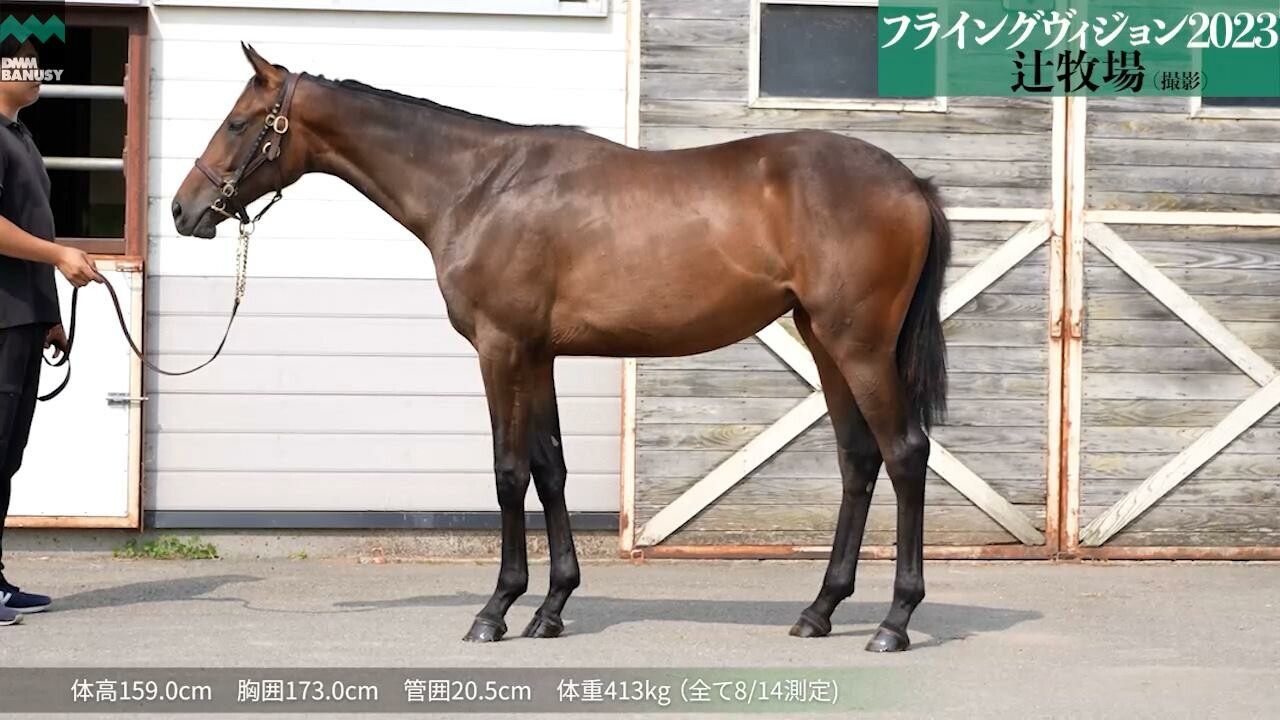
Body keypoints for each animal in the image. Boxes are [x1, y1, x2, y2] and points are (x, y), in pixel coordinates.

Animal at [172, 44, 952, 650]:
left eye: (237, 122)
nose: (183, 210)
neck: (479, 186)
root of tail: (910, 182)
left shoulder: (500, 349)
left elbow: (508, 472)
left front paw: (496, 610)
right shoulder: (539, 355)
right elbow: (551, 470)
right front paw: (550, 608)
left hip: (859, 347)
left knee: (904, 453)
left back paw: (895, 621)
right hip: (824, 343)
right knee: (858, 459)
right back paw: (820, 610)